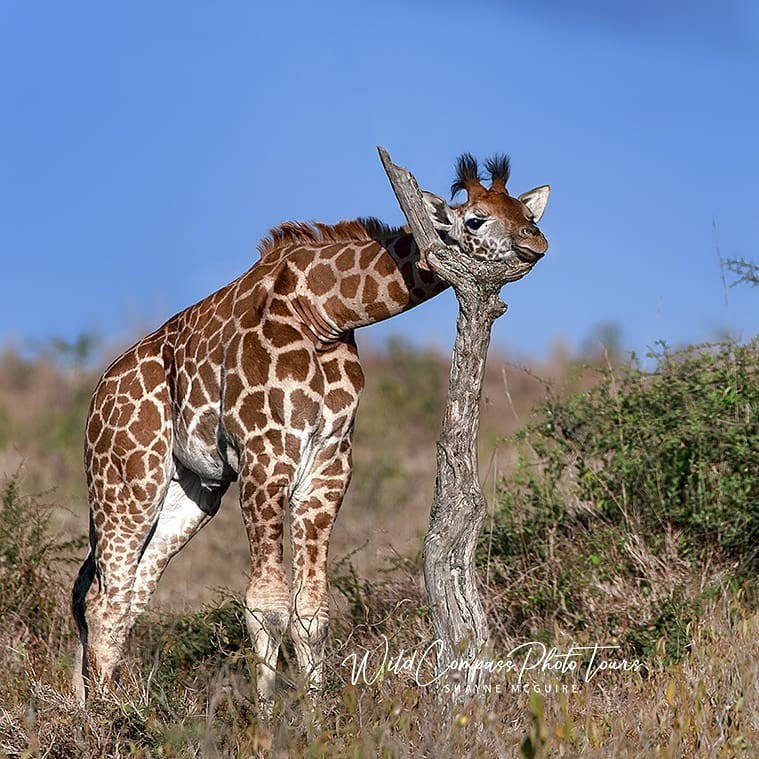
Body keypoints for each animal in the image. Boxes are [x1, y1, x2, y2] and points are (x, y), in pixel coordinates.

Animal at [71, 153, 548, 708]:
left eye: (524, 212)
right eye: (475, 220)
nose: (537, 243)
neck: (324, 313)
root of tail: (95, 400)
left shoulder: (327, 468)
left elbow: (312, 609)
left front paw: (316, 716)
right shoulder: (264, 458)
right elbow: (266, 602)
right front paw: (266, 718)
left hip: (190, 493)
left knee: (121, 593)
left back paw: (104, 708)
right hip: (128, 482)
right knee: (104, 599)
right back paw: (106, 718)